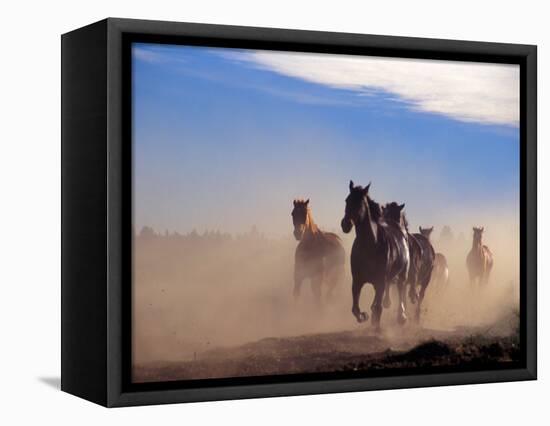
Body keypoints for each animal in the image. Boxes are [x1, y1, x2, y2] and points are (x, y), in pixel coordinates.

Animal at [342, 181, 412, 328]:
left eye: (360, 203)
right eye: (347, 200)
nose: (345, 224)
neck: (370, 245)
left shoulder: (381, 280)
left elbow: (378, 307)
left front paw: (376, 326)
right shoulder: (357, 280)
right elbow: (355, 308)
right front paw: (364, 316)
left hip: (402, 275)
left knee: (401, 290)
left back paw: (401, 316)